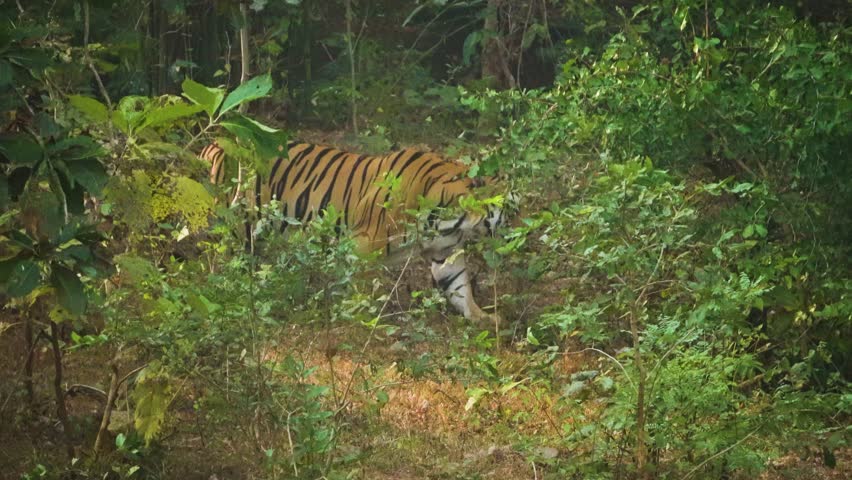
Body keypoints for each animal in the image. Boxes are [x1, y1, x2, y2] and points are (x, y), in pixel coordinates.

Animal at [199, 141, 516, 323]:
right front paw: (363, 324)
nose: (519, 233)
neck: (451, 220)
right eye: (512, 208)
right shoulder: (363, 245)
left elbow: (459, 286)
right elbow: (361, 292)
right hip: (239, 228)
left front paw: (482, 318)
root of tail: (214, 144)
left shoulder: (445, 251)